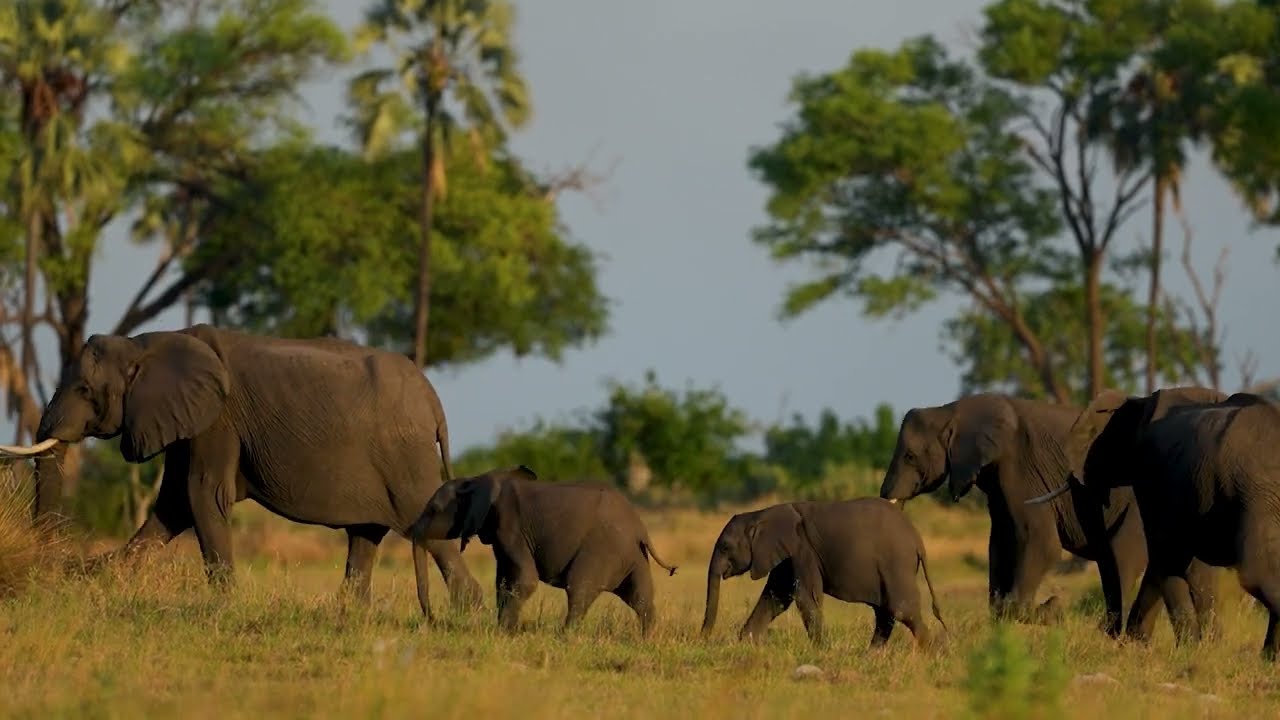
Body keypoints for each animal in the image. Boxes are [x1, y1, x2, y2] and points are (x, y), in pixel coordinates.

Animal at [0, 324, 482, 617]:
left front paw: (225, 606)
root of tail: (433, 400)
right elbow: (174, 506)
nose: (48, 569)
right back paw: (349, 615)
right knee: (365, 536)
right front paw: (89, 578)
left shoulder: (217, 420)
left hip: (405, 458)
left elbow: (202, 495)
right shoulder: (188, 420)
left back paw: (468, 609)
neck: (145, 343)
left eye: (85, 390)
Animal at [409, 465, 679, 637]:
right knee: (641, 597)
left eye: (433, 509)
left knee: (579, 588)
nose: (432, 621)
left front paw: (503, 632)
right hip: (633, 556)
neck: (476, 480)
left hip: (603, 549)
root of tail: (640, 528)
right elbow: (503, 580)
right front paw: (504, 630)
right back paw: (647, 639)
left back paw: (565, 636)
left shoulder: (511, 527)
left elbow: (525, 580)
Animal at [700, 498, 945, 647]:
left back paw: (931, 652)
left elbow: (806, 597)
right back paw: (871, 656)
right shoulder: (786, 556)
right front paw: (747, 642)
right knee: (885, 614)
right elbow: (776, 597)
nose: (703, 640)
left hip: (896, 564)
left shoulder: (802, 549)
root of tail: (917, 539)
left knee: (901, 610)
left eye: (725, 547)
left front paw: (819, 649)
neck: (760, 514)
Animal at [877, 392, 1215, 638]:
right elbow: (1001, 543)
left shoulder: (1019, 467)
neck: (952, 409)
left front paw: (1054, 610)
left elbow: (1040, 543)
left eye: (910, 456)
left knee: (1122, 557)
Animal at [1031, 388, 1277, 656]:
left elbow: (1167, 557)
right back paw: (1269, 657)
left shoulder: (1152, 479)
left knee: (1256, 572)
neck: (1139, 401)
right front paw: (1199, 647)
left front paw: (1187, 649)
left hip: (1256, 490)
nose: (1109, 632)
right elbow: (1189, 566)